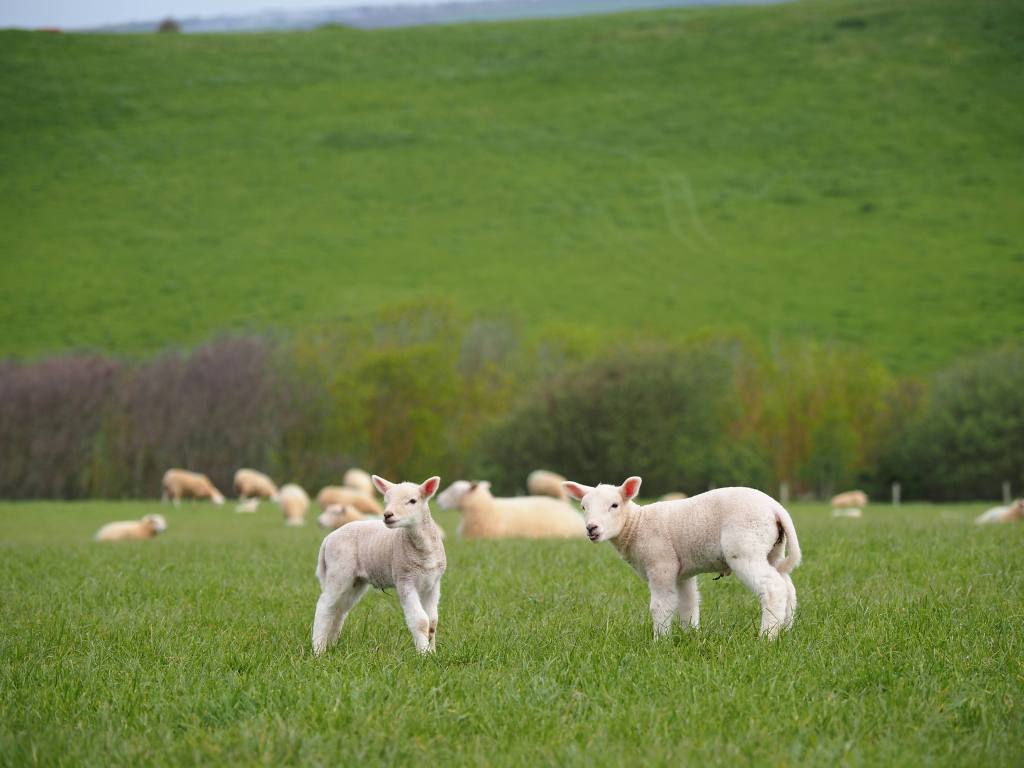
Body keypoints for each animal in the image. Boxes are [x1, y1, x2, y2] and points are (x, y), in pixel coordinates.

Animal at [312, 475, 446, 655]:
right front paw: (423, 654)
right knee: (324, 606)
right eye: (386, 501)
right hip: (338, 572)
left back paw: (331, 644)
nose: (387, 515)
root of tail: (328, 538)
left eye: (412, 501)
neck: (423, 551)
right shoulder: (404, 580)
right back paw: (318, 650)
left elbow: (432, 622)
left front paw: (432, 653)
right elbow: (420, 621)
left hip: (355, 582)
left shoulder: (433, 584)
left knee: (339, 610)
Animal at [563, 477, 801, 640]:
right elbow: (689, 604)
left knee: (773, 588)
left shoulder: (661, 564)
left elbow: (661, 605)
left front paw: (660, 641)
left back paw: (767, 637)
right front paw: (691, 636)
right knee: (788, 587)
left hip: (746, 549)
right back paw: (786, 630)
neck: (636, 525)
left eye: (614, 505)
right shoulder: (682, 574)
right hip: (772, 551)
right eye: (583, 507)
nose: (591, 528)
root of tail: (776, 508)